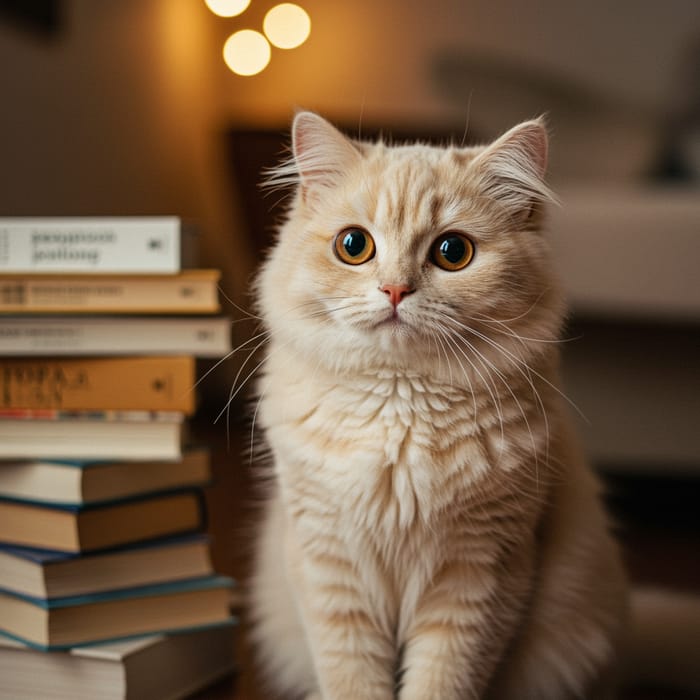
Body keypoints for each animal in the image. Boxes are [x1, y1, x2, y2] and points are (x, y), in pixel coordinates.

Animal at [246, 112, 644, 696]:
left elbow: (441, 681)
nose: (394, 291)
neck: (398, 412)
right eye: (353, 245)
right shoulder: (329, 569)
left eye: (452, 252)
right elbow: (351, 679)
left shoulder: (479, 574)